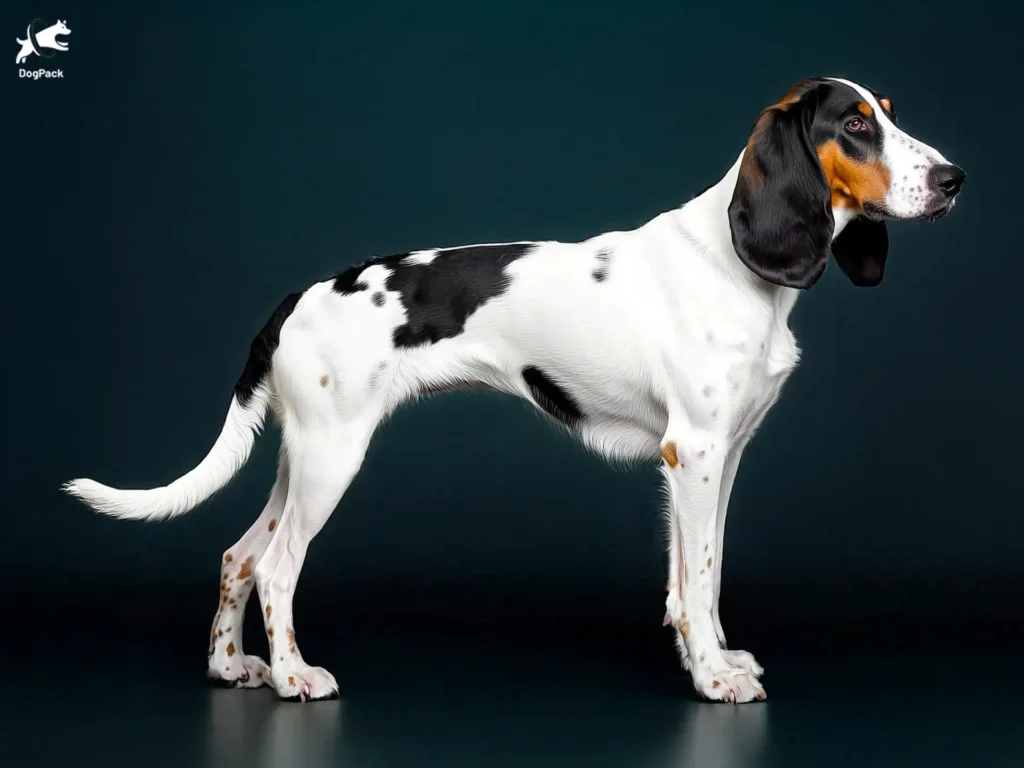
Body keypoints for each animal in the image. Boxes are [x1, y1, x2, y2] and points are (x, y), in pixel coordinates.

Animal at [66, 76, 966, 704]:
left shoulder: (719, 460)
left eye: (889, 112)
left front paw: (711, 656)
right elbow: (699, 576)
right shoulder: (697, 455)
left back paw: (231, 668)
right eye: (856, 125)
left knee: (240, 555)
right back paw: (294, 676)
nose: (955, 177)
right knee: (281, 566)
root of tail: (300, 295)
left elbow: (696, 582)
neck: (733, 264)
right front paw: (713, 681)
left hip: (303, 456)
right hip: (332, 459)